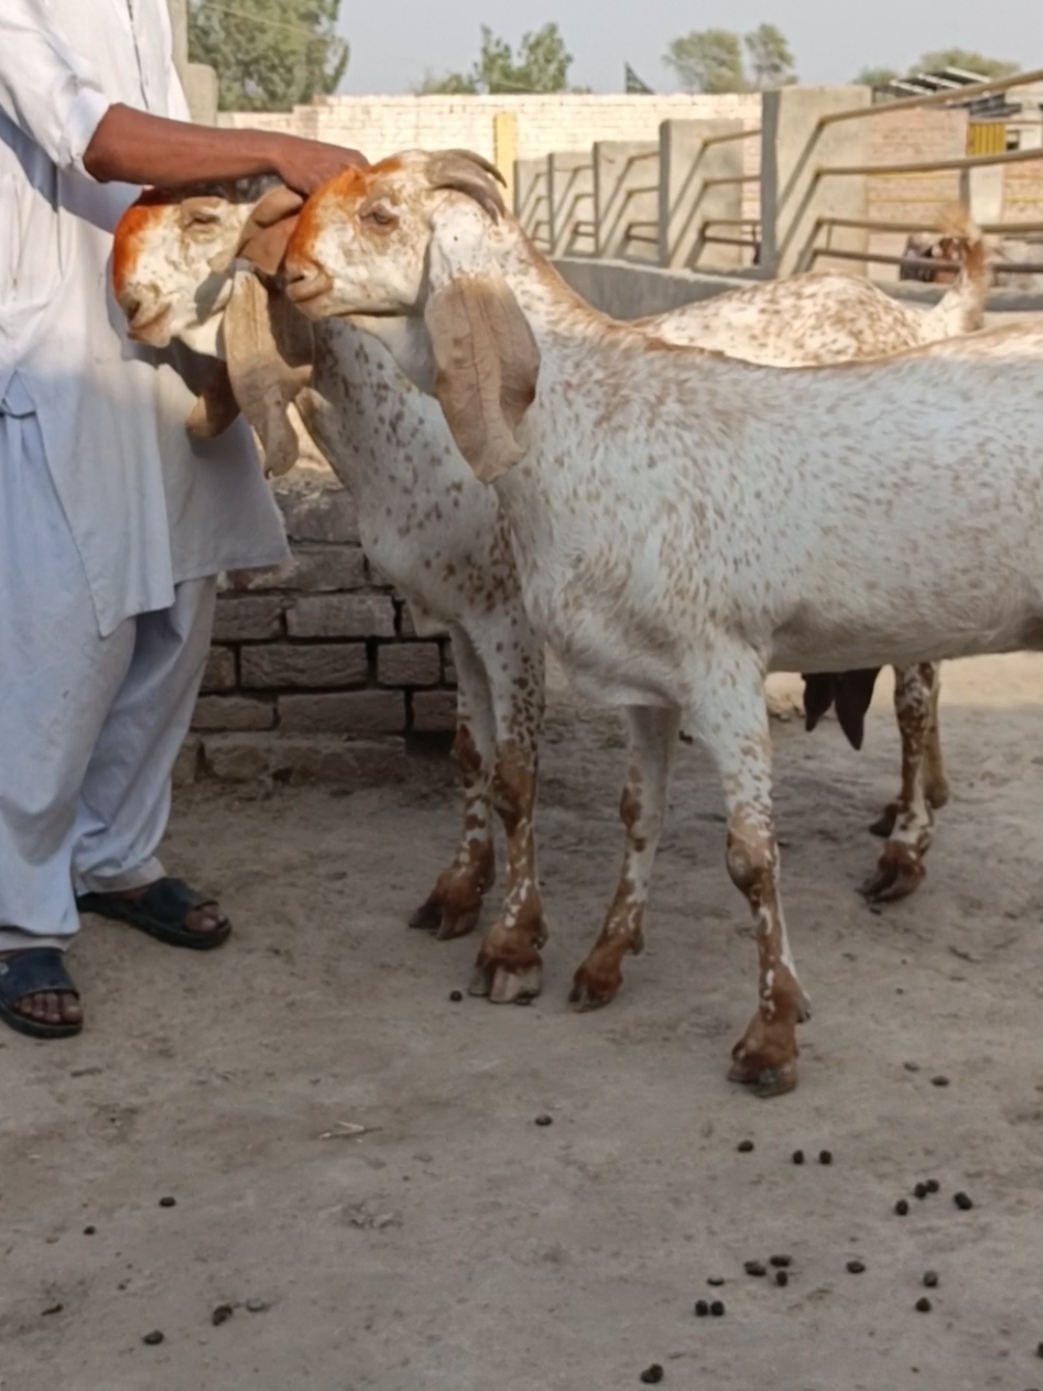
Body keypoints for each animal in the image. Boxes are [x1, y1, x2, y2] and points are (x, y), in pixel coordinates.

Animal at [284, 150, 1043, 1096]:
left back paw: (901, 850)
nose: (292, 272)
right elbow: (634, 810)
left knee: (912, 707)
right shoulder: (642, 680)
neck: (591, 414)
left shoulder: (722, 665)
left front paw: (770, 1034)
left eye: (382, 214)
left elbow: (749, 856)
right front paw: (604, 958)